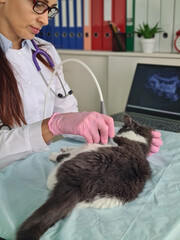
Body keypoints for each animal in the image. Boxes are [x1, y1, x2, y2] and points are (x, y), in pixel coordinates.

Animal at [16, 115, 153, 239]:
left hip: (82, 156)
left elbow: (69, 152)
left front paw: (57, 153)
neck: (139, 142)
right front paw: (65, 147)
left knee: (52, 178)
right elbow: (73, 147)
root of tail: (78, 184)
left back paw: (54, 158)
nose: (116, 132)